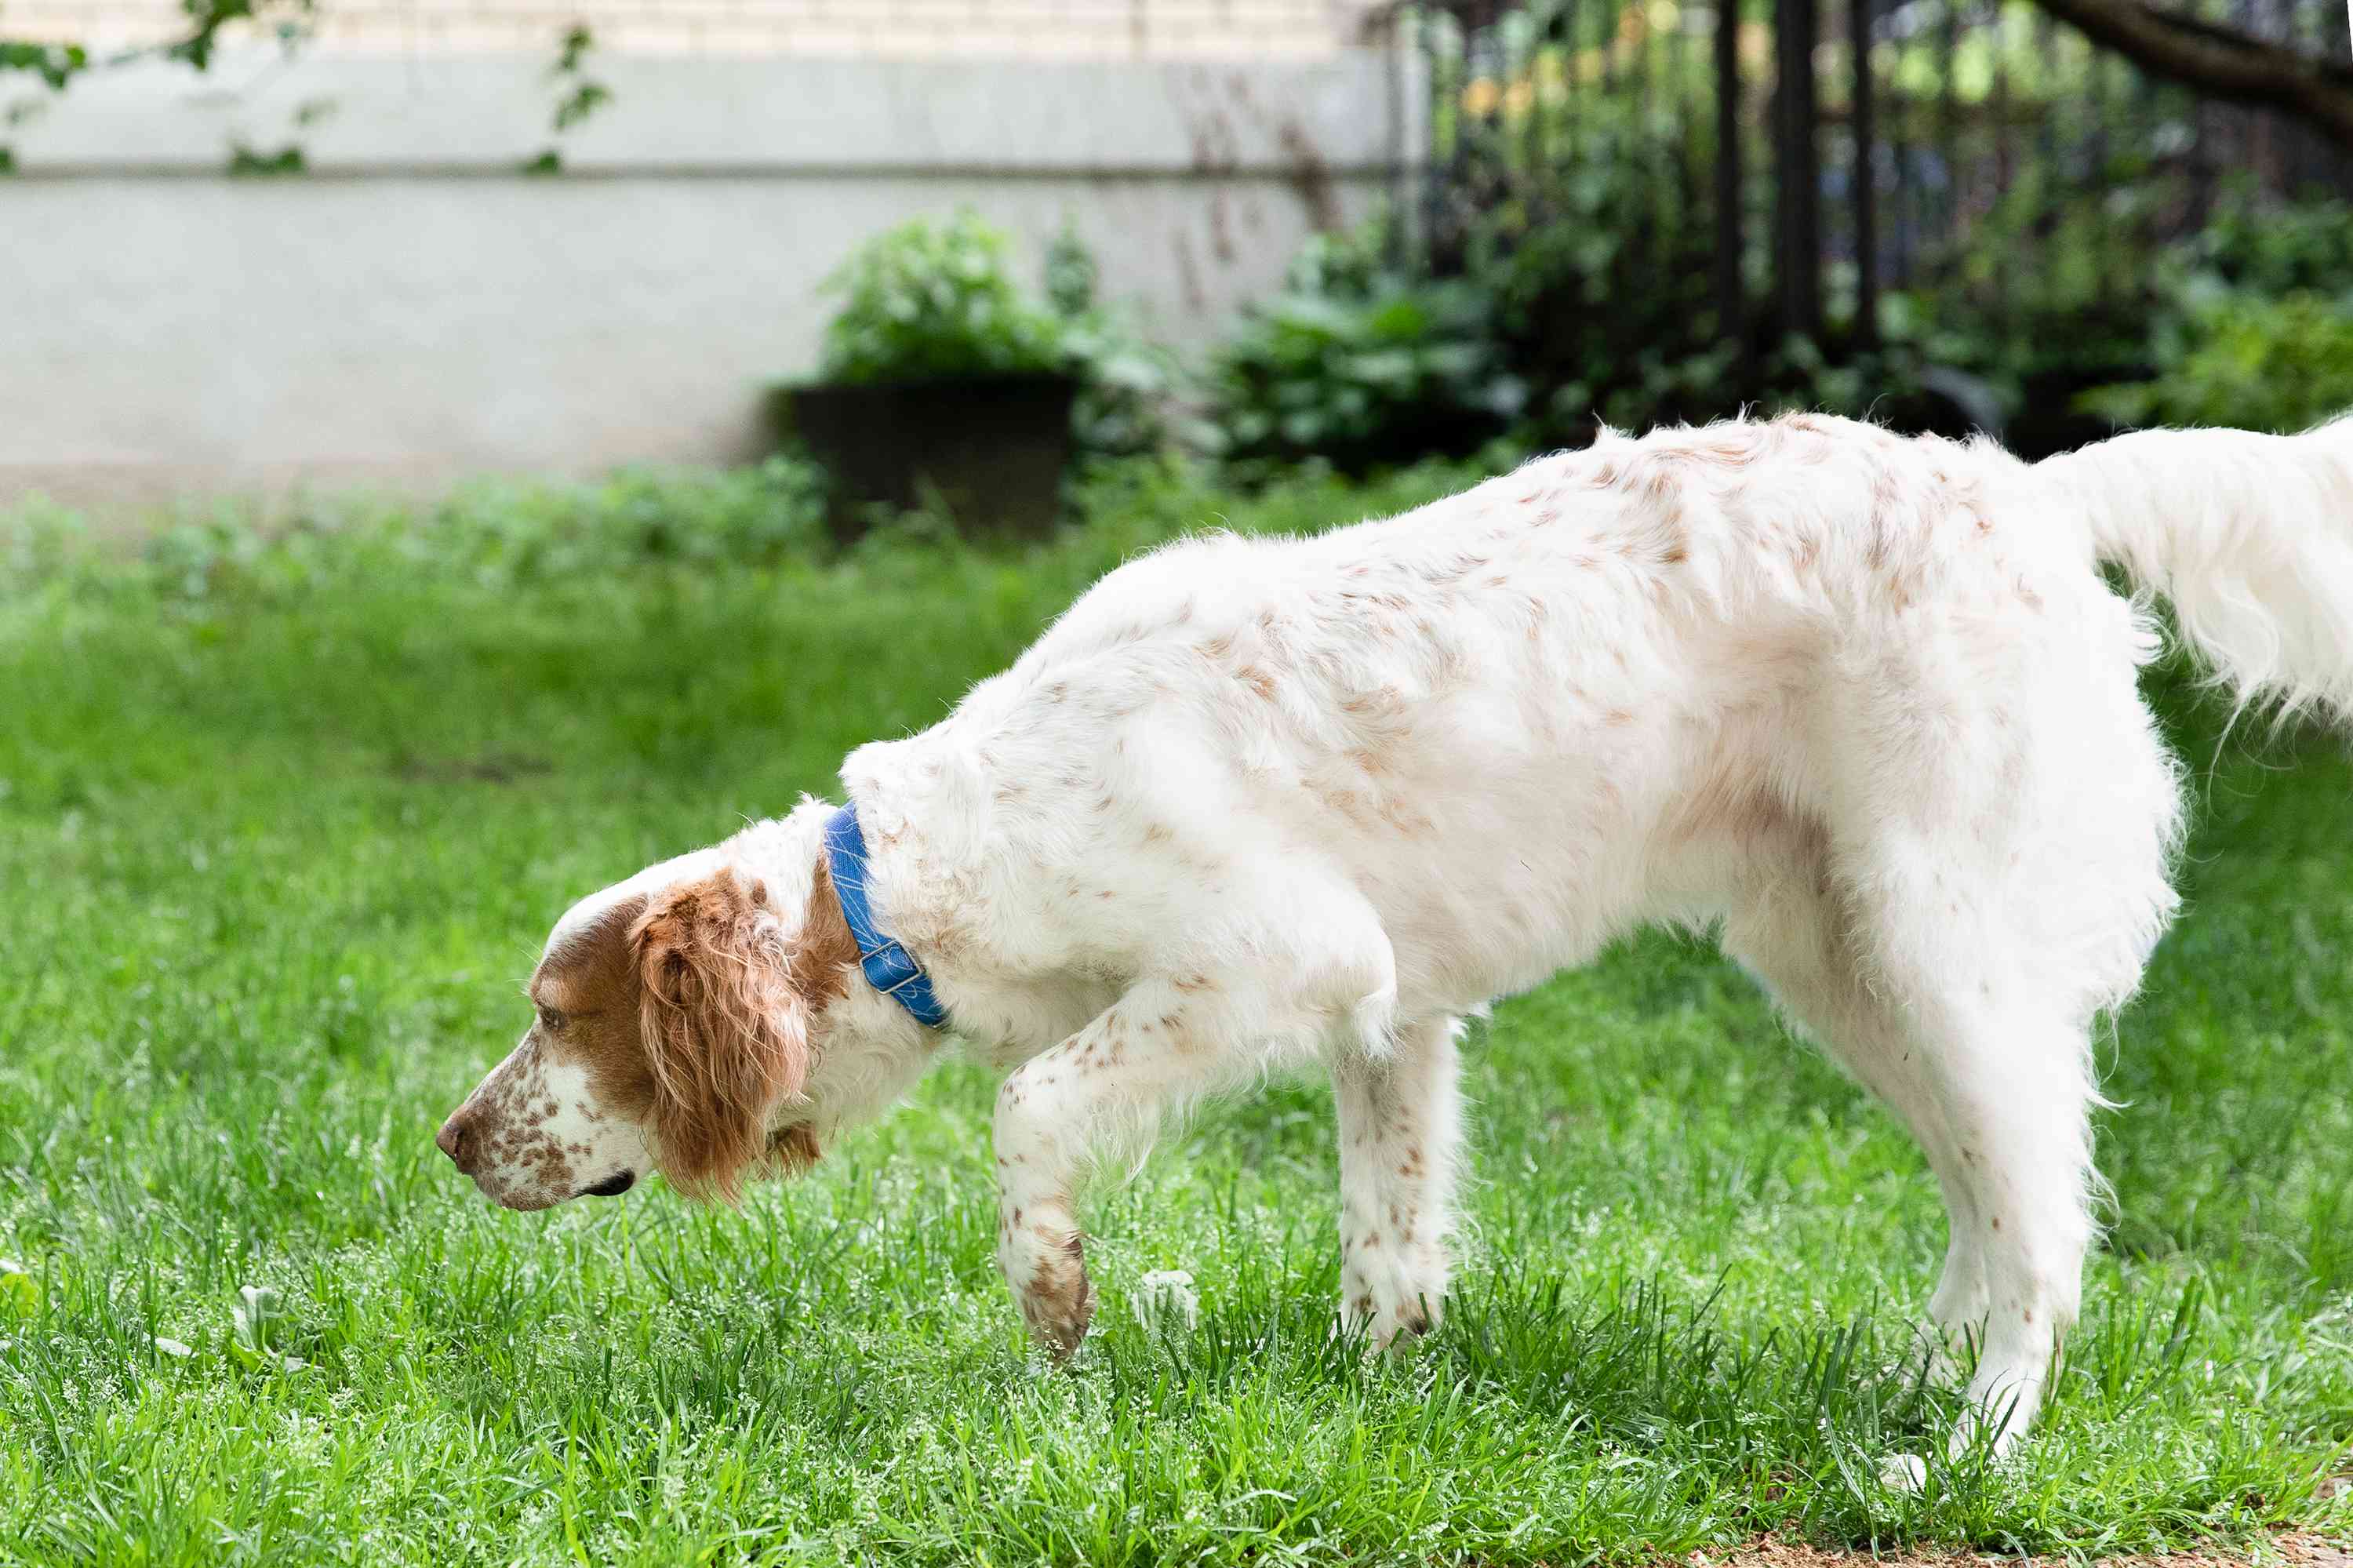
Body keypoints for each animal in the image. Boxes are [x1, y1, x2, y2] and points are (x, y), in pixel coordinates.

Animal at [438, 412, 2353, 1450]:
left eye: (558, 1016)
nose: (449, 1141)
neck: (947, 855)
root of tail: (2035, 488)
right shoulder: (1396, 1018)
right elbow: (1390, 1230)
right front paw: (1378, 1394)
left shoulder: (1280, 959)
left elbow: (1033, 1108)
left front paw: (1059, 1321)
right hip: (1845, 952)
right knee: (1988, 1190)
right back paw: (1916, 1378)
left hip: (1941, 936)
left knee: (2049, 1219)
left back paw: (1967, 1450)